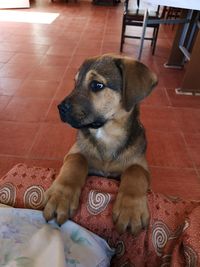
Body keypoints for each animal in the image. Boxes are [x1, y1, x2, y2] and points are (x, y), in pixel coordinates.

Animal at [43, 55, 157, 237]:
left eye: (97, 85)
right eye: (75, 83)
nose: (60, 108)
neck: (106, 135)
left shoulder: (142, 166)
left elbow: (135, 170)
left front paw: (131, 210)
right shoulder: (74, 152)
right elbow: (78, 159)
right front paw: (60, 197)